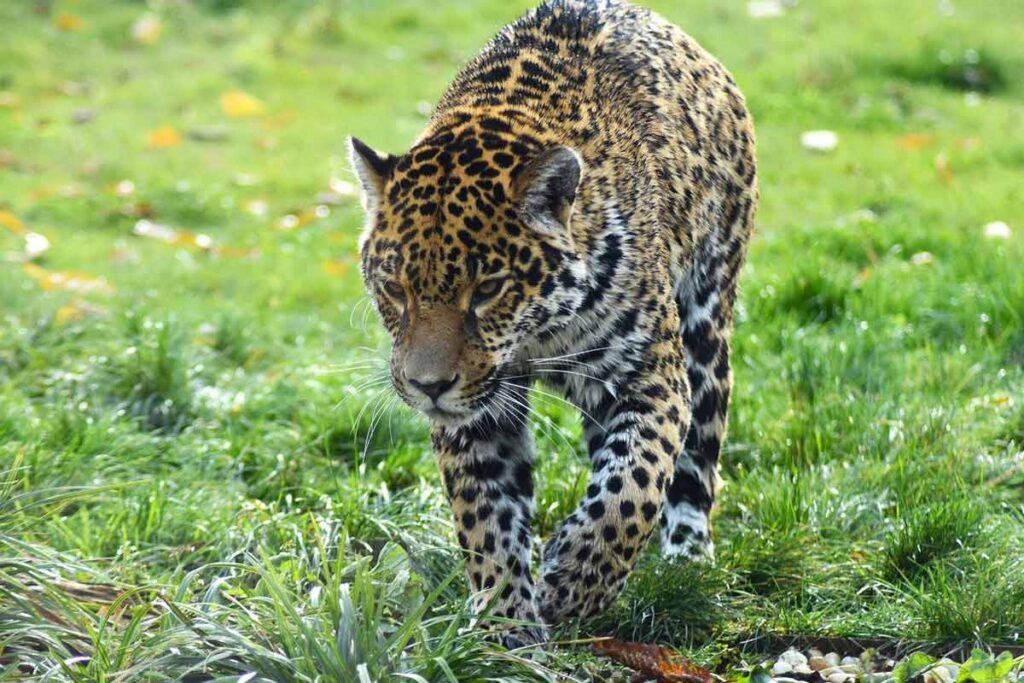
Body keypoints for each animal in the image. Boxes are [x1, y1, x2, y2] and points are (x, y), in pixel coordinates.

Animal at [348, 0, 757, 645]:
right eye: (395, 289)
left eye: (487, 290)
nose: (427, 387)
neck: (535, 336)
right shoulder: (477, 417)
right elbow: (485, 517)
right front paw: (506, 623)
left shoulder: (651, 377)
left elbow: (635, 485)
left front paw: (574, 580)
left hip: (706, 328)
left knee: (695, 462)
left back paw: (687, 561)